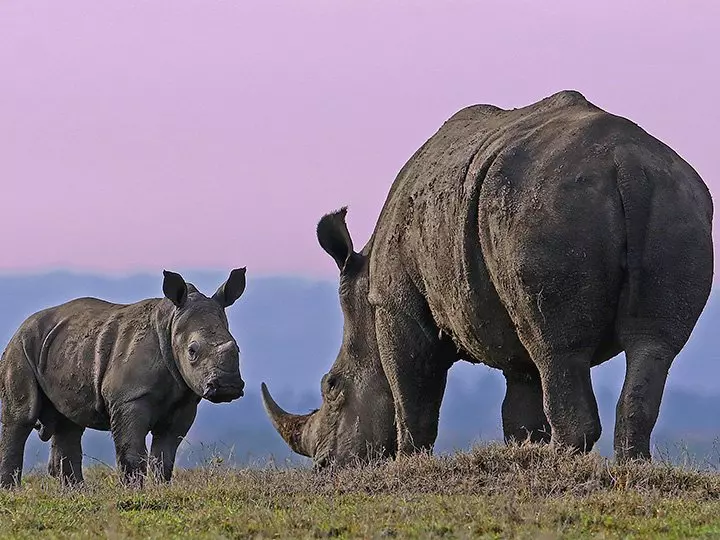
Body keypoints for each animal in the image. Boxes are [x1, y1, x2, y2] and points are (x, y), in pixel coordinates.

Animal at [0, 268, 247, 487]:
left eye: (237, 349)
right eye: (192, 351)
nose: (227, 386)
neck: (170, 324)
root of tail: (20, 327)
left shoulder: (185, 401)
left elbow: (165, 455)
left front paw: (161, 489)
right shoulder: (129, 397)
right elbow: (132, 451)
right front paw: (134, 491)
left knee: (69, 423)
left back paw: (77, 493)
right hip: (21, 345)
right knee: (21, 417)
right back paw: (12, 491)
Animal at [262, 90, 714, 468]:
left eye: (332, 385)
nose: (327, 466)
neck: (364, 285)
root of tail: (627, 164)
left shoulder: (394, 307)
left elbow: (410, 390)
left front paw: (408, 465)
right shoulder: (507, 326)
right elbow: (520, 404)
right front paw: (523, 453)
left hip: (547, 210)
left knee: (558, 350)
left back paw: (563, 464)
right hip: (674, 202)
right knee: (652, 345)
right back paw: (630, 466)